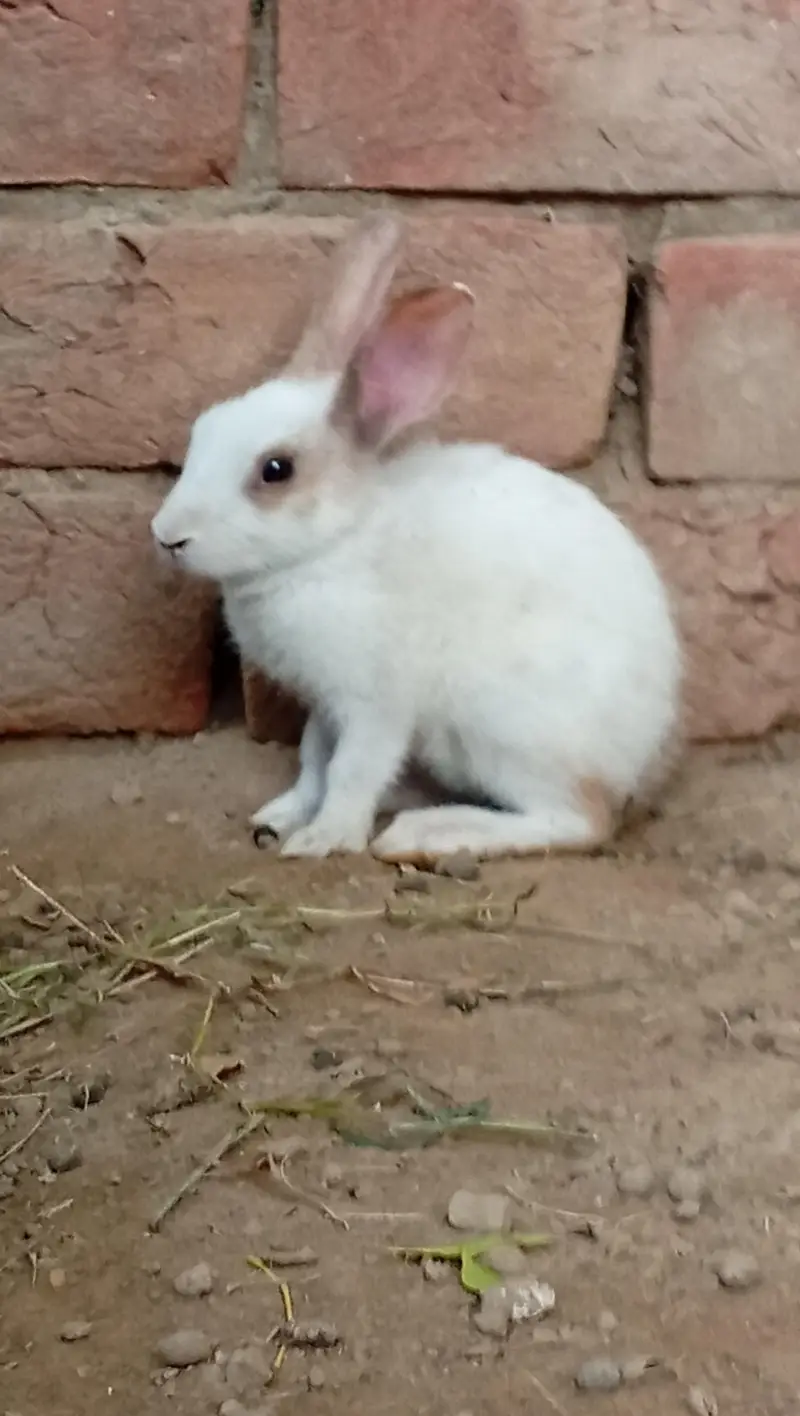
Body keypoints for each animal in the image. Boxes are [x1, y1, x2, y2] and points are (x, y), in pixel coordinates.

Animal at [151, 211, 682, 863]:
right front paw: (281, 817)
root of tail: (642, 758)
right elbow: (313, 759)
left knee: (578, 820)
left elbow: (352, 769)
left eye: (275, 470)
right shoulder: (325, 704)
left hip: (504, 730)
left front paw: (324, 839)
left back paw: (427, 833)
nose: (168, 536)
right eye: (204, 428)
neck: (332, 545)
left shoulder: (375, 703)